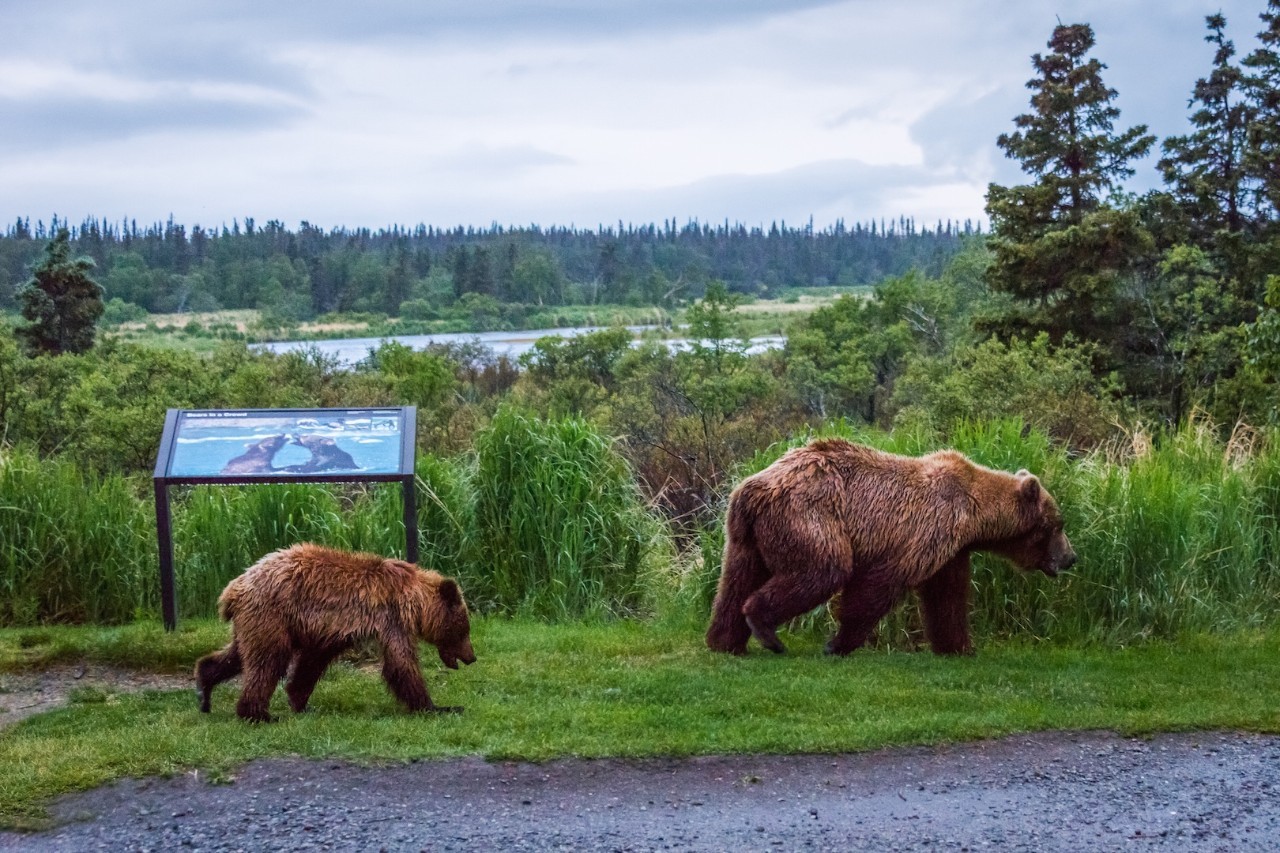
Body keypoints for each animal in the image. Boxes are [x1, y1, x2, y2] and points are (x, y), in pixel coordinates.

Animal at [197, 545, 478, 717]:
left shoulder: (332, 630)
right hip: (270, 614)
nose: (472, 656)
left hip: (255, 621)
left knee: (237, 655)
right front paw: (439, 707)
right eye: (464, 628)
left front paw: (300, 700)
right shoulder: (391, 619)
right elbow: (401, 663)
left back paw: (204, 689)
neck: (413, 601)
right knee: (268, 659)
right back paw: (257, 714)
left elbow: (313, 661)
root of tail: (233, 588)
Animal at [706, 435, 1075, 653]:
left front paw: (959, 646)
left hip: (747, 535)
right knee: (823, 569)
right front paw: (839, 643)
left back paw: (725, 640)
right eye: (1057, 524)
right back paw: (766, 630)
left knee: (736, 580)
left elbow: (948, 597)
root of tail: (754, 487)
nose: (1071, 557)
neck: (974, 514)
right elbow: (880, 584)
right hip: (808, 516)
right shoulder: (927, 529)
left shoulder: (953, 549)